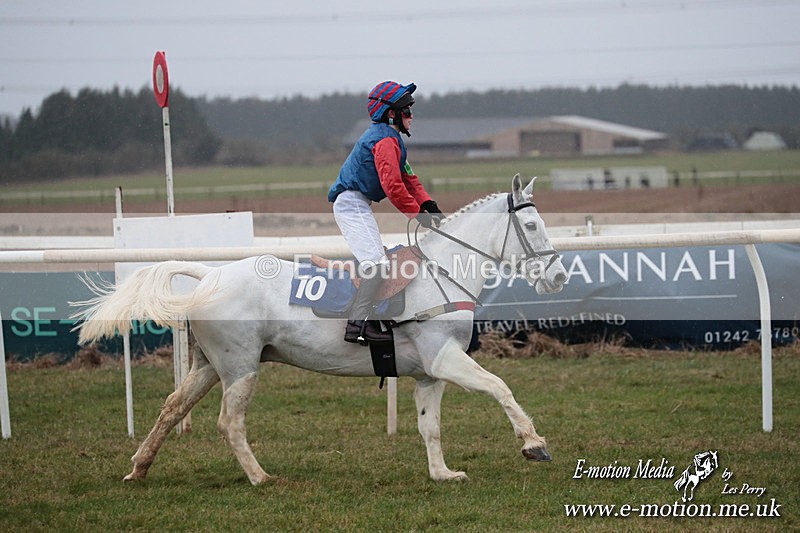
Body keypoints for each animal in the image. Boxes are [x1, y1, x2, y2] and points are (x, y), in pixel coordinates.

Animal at [74, 175, 568, 485]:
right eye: (531, 225)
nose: (559, 276)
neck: (441, 274)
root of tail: (210, 275)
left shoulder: (429, 372)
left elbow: (430, 426)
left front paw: (442, 474)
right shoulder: (445, 359)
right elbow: (500, 387)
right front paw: (534, 443)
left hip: (209, 366)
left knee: (172, 408)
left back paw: (139, 468)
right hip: (240, 368)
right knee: (229, 422)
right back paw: (260, 476)